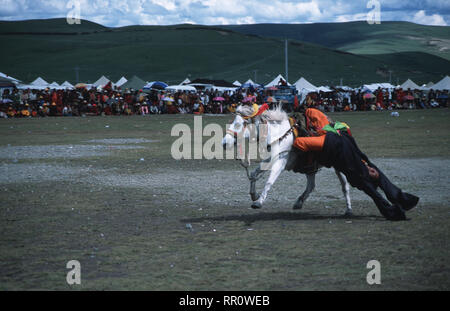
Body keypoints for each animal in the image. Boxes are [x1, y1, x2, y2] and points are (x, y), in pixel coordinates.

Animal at [223, 105, 354, 217]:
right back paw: (299, 203)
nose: (224, 143)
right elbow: (254, 173)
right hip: (310, 167)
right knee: (311, 185)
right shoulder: (272, 158)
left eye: (239, 124)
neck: (278, 135)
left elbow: (269, 181)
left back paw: (348, 210)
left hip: (338, 166)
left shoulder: (280, 162)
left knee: (345, 186)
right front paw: (254, 195)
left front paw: (258, 202)